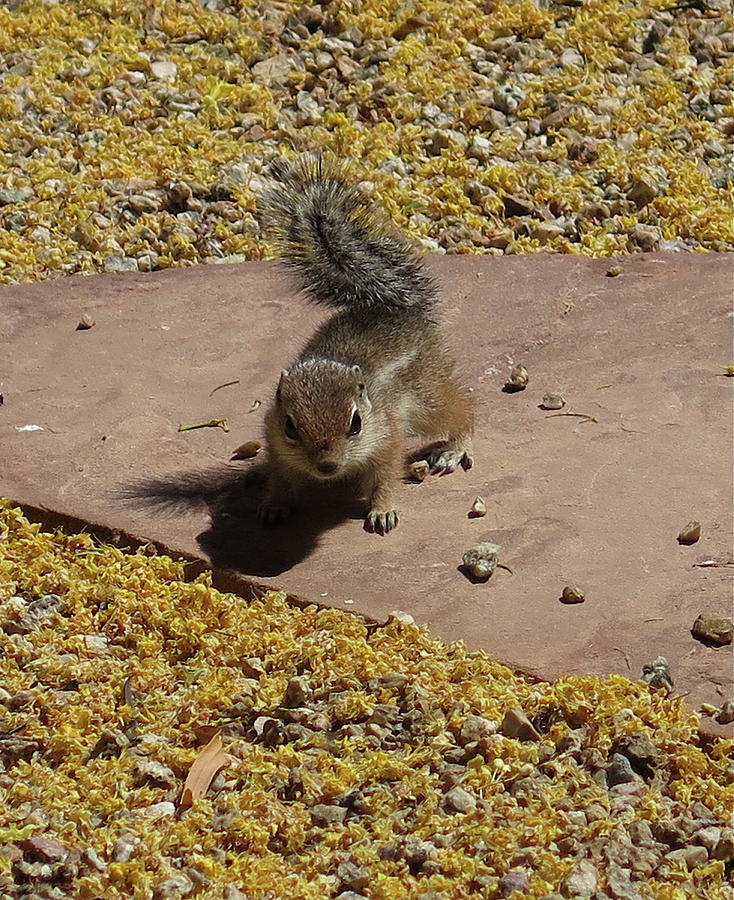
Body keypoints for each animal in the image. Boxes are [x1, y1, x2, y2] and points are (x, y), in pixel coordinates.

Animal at [262, 155, 474, 536]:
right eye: (290, 426)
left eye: (356, 424)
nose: (327, 466)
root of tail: (399, 309)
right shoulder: (274, 443)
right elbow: (280, 479)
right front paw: (274, 506)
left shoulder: (388, 440)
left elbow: (385, 479)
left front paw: (382, 511)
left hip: (428, 402)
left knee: (464, 408)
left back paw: (454, 449)